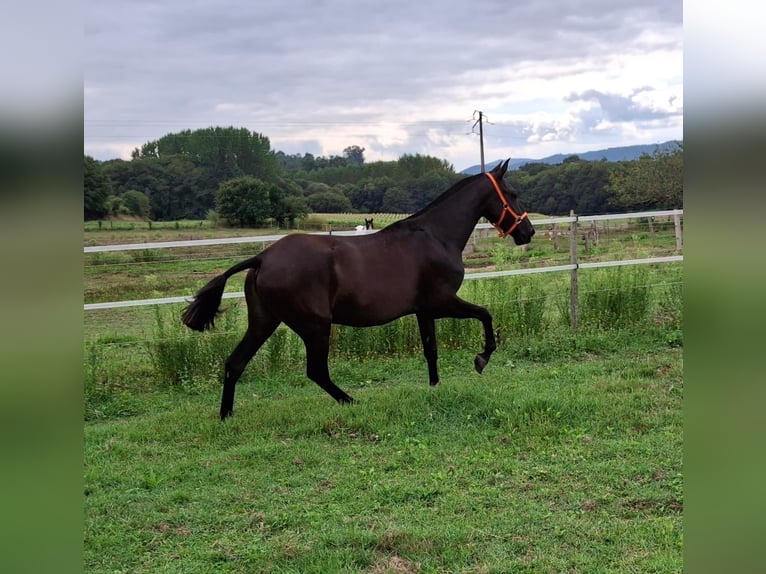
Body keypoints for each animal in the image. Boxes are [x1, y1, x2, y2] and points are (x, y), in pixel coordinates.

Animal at [183, 160, 536, 420]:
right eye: (514, 192)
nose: (529, 232)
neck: (435, 236)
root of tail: (262, 258)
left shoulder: (424, 310)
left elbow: (431, 350)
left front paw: (435, 387)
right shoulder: (442, 301)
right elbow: (485, 315)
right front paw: (482, 358)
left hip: (264, 321)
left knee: (235, 363)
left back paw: (226, 416)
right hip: (314, 325)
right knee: (316, 371)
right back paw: (351, 401)